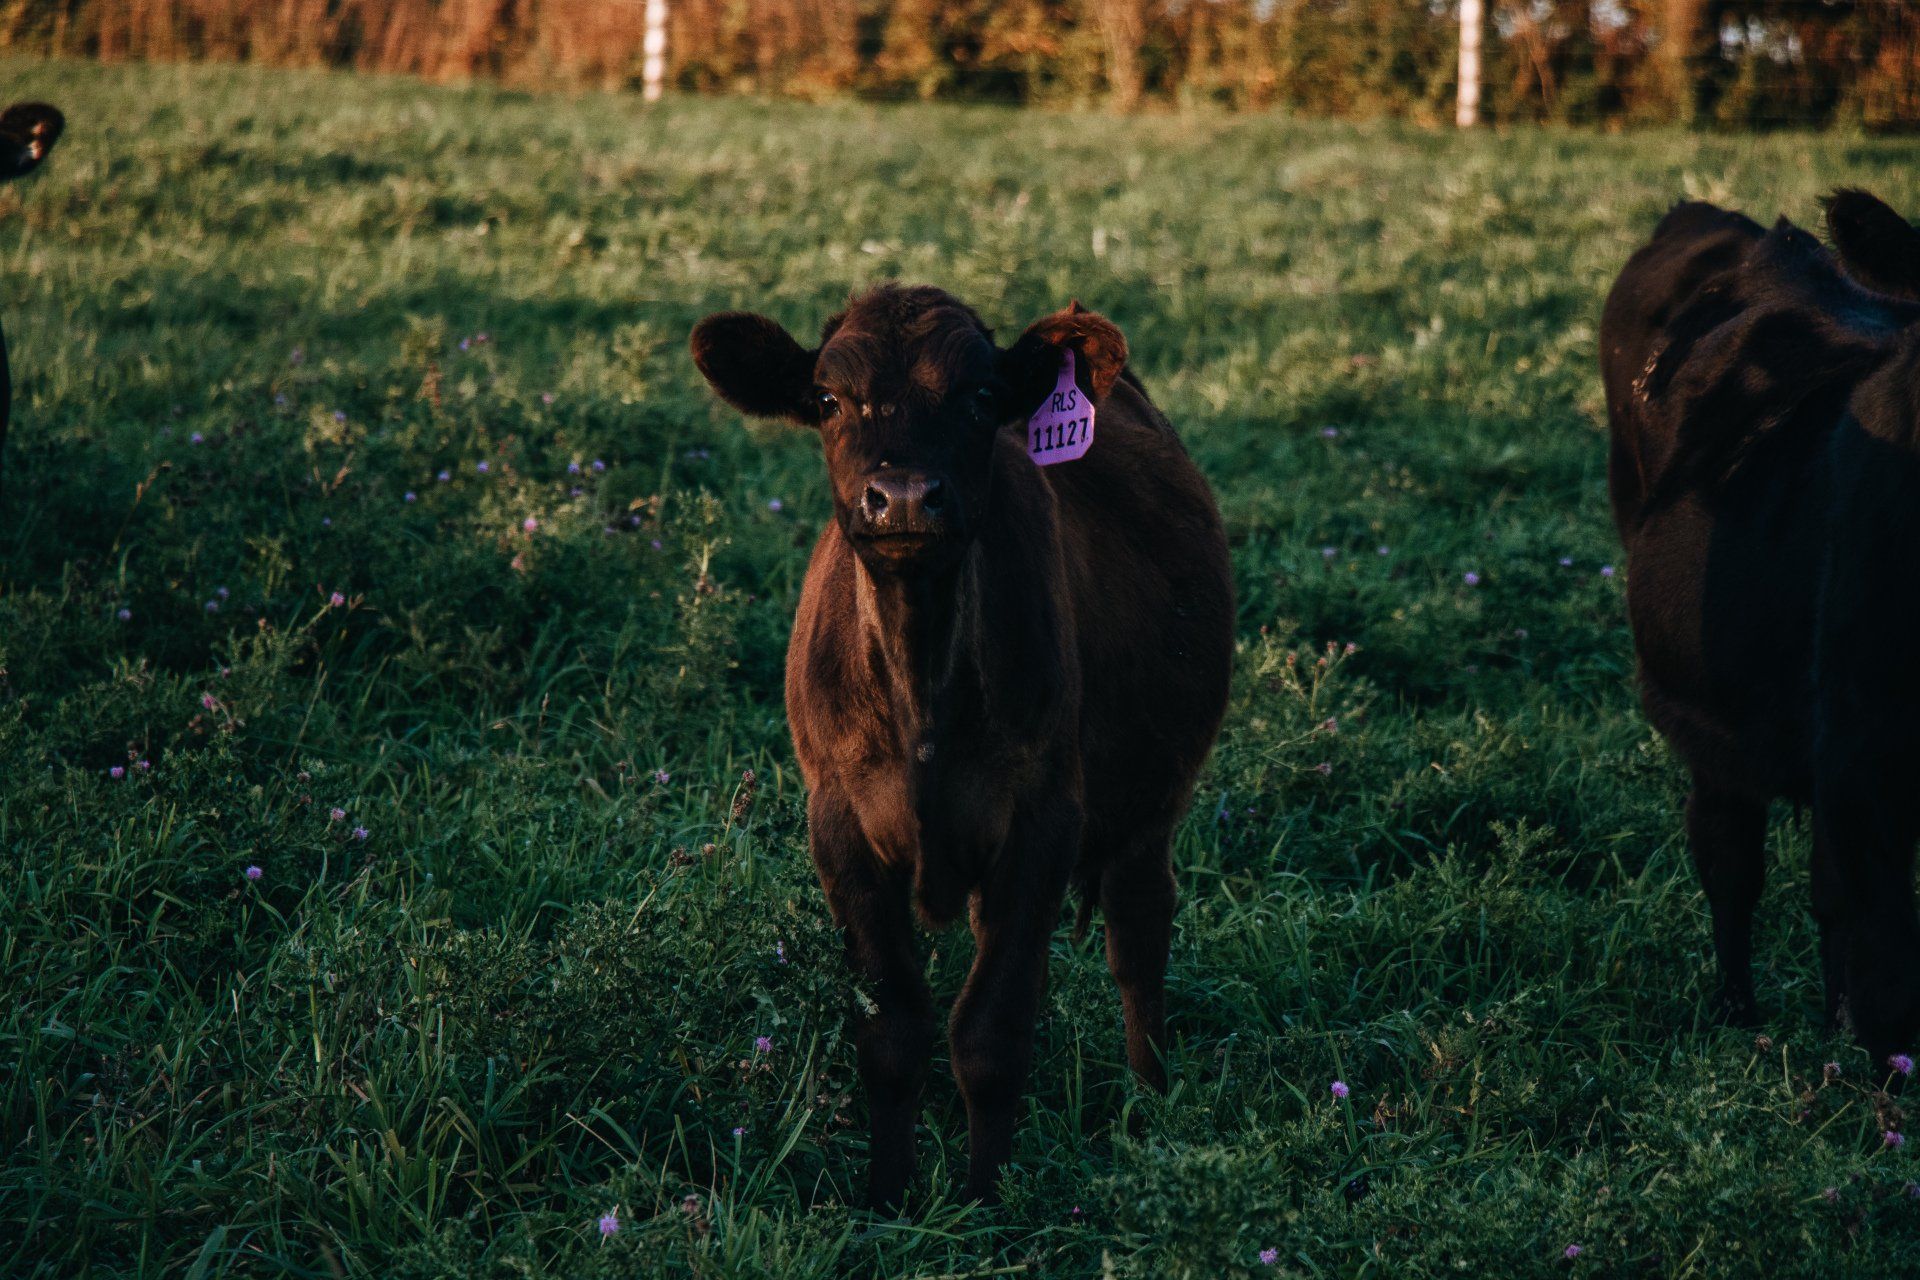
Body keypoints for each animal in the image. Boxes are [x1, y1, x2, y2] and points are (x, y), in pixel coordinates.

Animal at [690, 285, 1234, 1208]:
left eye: (982, 397)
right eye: (829, 400)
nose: (905, 496)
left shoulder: (1044, 821)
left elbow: (990, 1031)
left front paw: (984, 1199)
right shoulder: (839, 827)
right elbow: (893, 1030)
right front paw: (888, 1197)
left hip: (1152, 800)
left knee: (1139, 930)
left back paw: (1149, 1096)